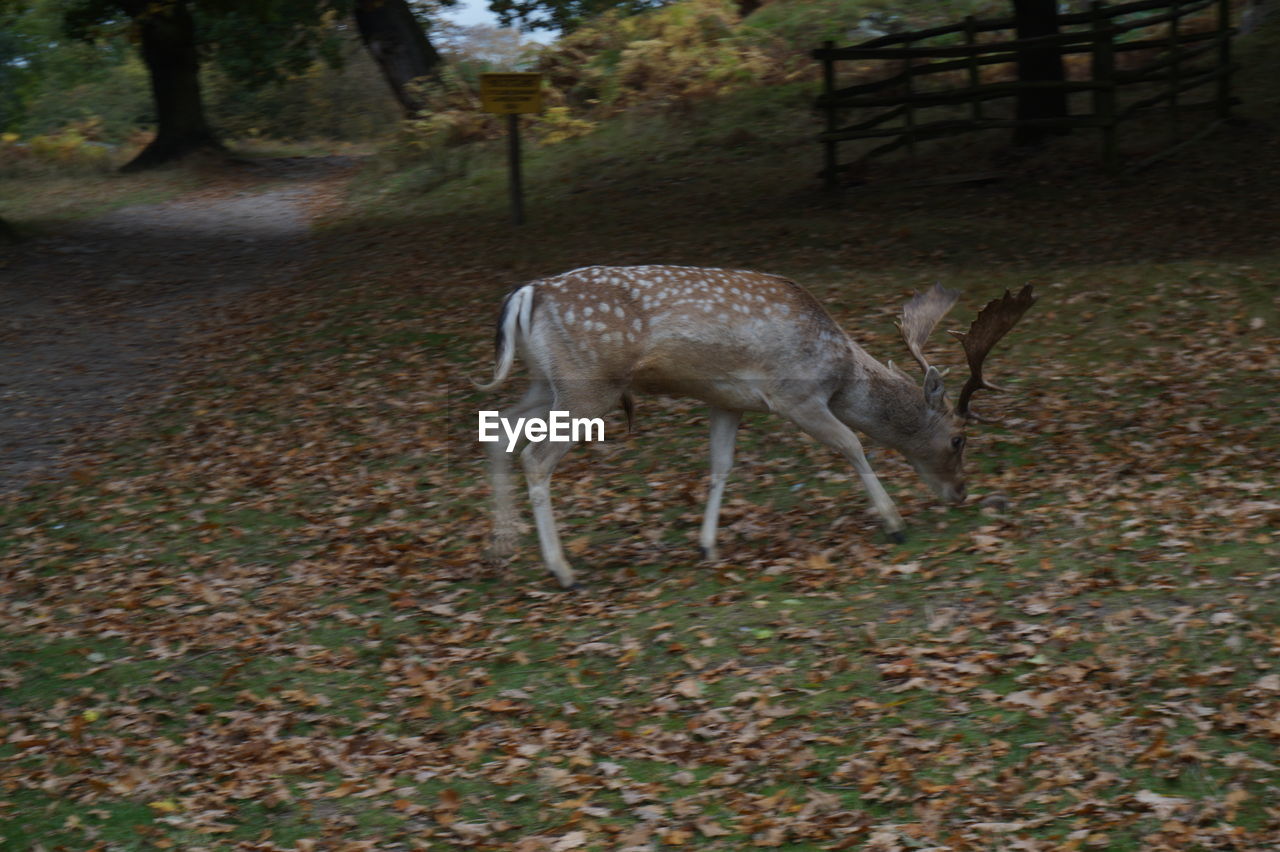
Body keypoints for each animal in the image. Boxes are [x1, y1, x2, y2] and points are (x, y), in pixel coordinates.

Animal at [476, 266, 1034, 583]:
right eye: (958, 439)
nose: (960, 493)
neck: (840, 371)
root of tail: (526, 294)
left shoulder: (728, 401)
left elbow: (721, 466)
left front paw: (706, 544)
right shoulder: (795, 396)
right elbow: (852, 444)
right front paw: (894, 523)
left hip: (546, 383)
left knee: (500, 426)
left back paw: (503, 550)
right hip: (589, 386)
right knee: (535, 456)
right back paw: (561, 569)